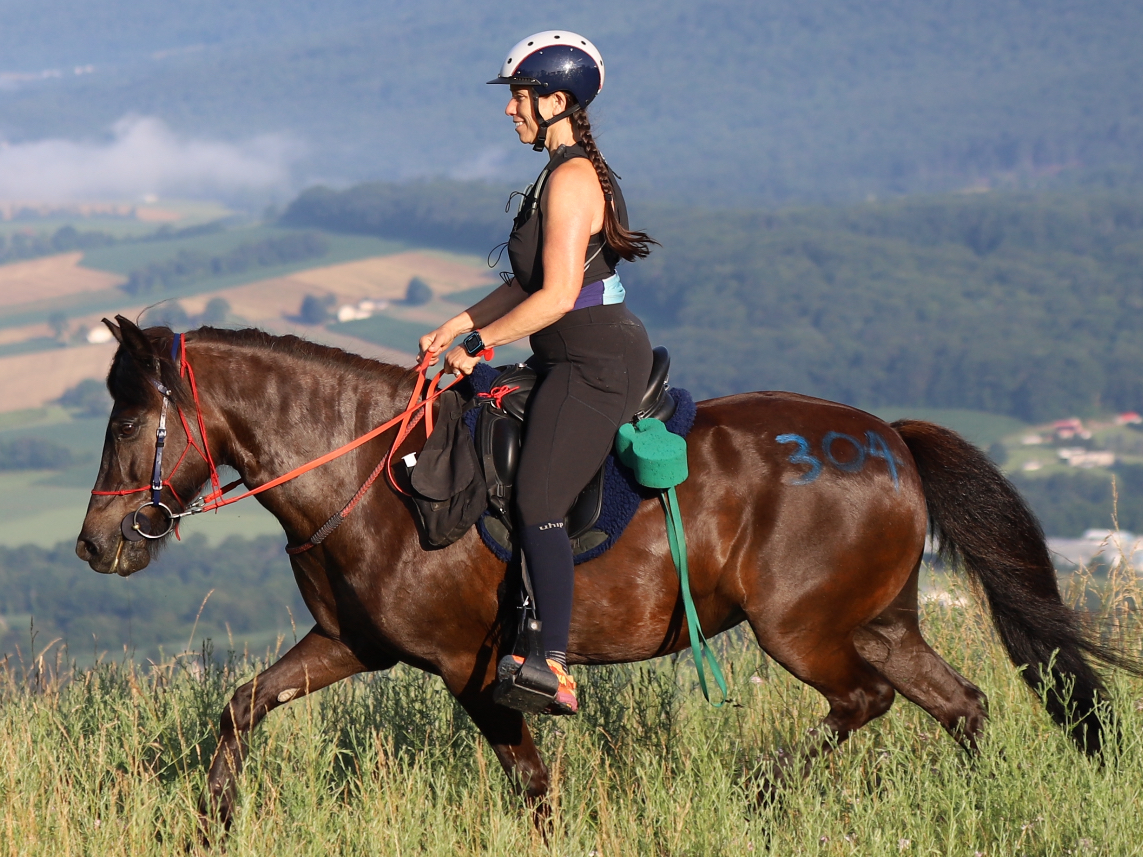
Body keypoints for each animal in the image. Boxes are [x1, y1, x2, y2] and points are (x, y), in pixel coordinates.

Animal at [77, 316, 1139, 828]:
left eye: (131, 419)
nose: (98, 545)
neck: (374, 473)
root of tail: (888, 440)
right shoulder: (351, 643)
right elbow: (241, 707)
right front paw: (212, 820)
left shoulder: (472, 667)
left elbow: (530, 780)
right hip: (879, 620)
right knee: (959, 704)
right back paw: (970, 801)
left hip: (802, 628)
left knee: (865, 702)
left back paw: (762, 791)